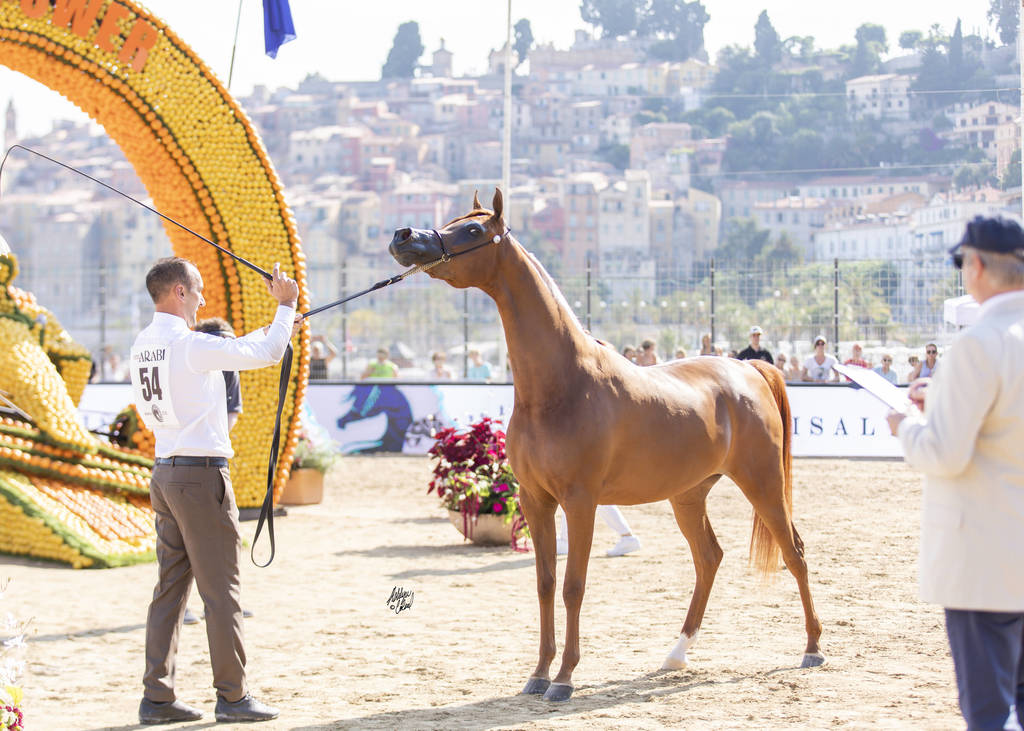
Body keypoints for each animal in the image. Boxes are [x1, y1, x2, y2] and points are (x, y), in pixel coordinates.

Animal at [388, 189, 824, 702]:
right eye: (453, 219)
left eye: (473, 230)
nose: (404, 236)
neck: (562, 384)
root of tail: (749, 368)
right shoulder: (535, 500)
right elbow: (544, 583)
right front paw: (538, 674)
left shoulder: (580, 502)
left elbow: (573, 585)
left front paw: (564, 678)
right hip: (688, 494)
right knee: (709, 559)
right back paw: (676, 655)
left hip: (763, 483)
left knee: (794, 552)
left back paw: (812, 647)